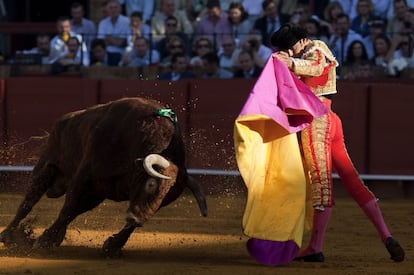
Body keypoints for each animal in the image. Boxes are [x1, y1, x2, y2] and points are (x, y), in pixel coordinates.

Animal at [0, 96, 207, 256]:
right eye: (151, 185)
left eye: (167, 200)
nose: (138, 219)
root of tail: (64, 120)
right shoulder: (84, 178)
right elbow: (67, 209)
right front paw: (44, 241)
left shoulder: (99, 192)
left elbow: (77, 213)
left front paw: (112, 246)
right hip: (47, 168)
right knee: (28, 203)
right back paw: (8, 235)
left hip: (95, 194)